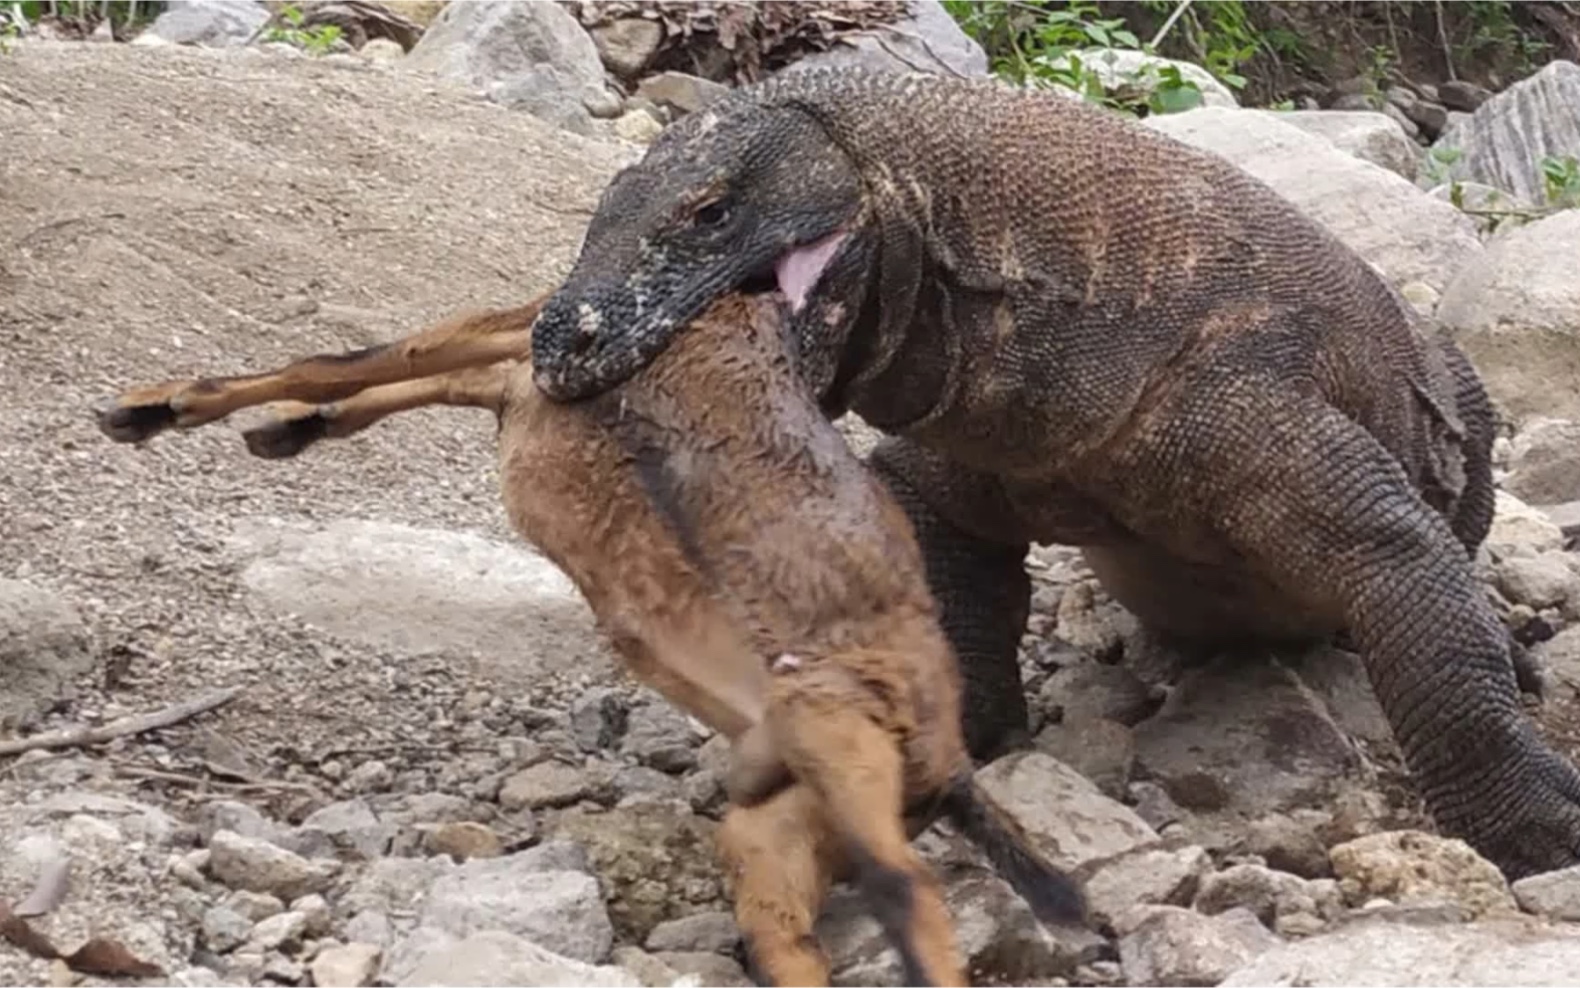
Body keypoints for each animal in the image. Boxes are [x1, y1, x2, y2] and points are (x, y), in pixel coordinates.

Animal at [95, 290, 1087, 980]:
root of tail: (946, 763)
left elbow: (351, 358)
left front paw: (167, 409)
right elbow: (374, 365)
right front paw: (241, 420)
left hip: (832, 734)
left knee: (905, 896)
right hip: (784, 818)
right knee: (801, 936)